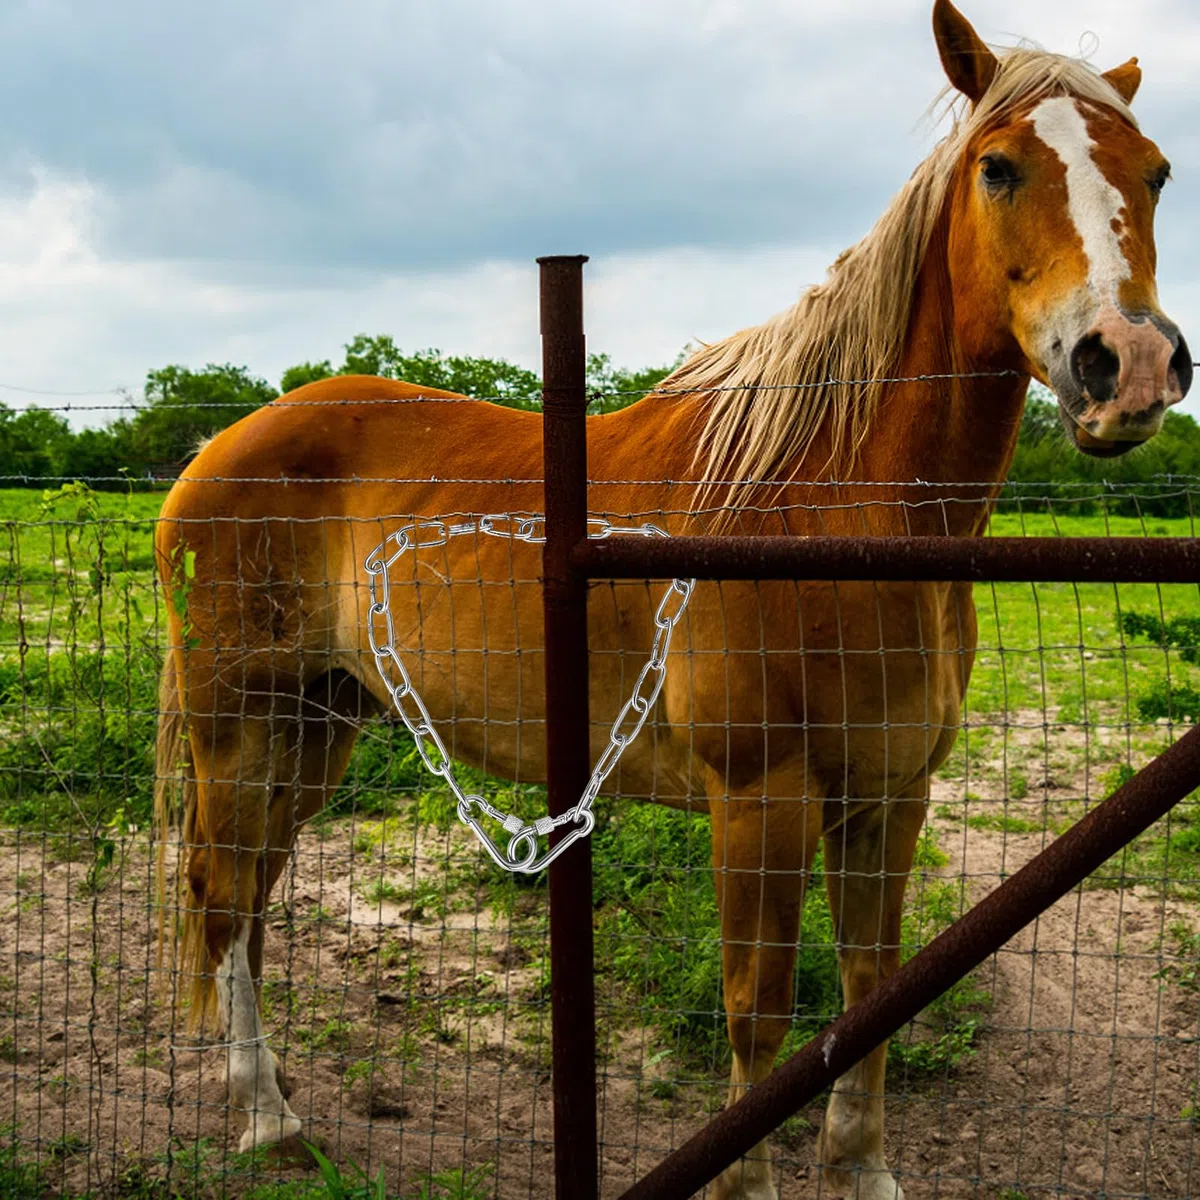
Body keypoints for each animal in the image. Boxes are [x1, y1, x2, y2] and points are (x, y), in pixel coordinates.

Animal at [153, 3, 1188, 1196]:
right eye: (1000, 167)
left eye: (1157, 172)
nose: (1131, 363)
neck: (825, 507)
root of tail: (218, 446)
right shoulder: (761, 801)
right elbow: (758, 1008)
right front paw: (746, 1180)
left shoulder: (890, 796)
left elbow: (871, 988)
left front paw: (861, 1167)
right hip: (242, 725)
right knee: (222, 889)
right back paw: (265, 1115)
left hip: (318, 724)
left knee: (251, 900)